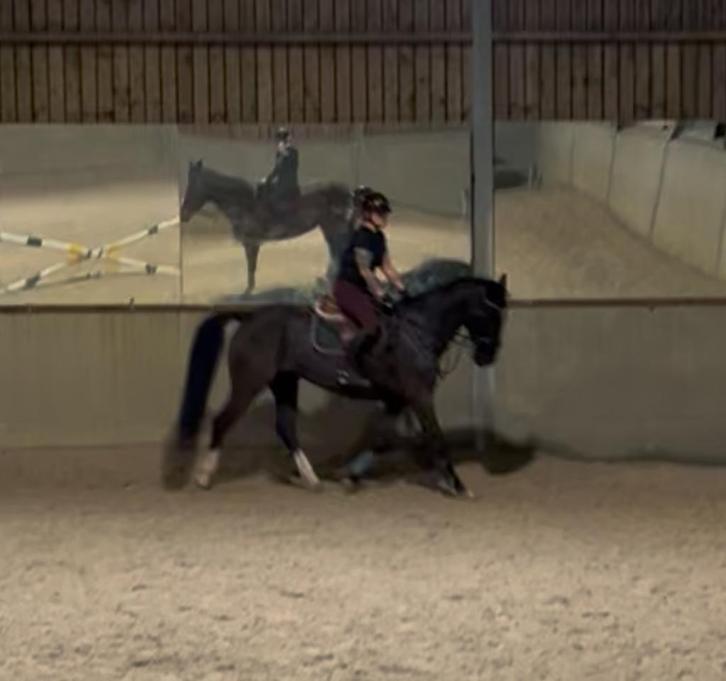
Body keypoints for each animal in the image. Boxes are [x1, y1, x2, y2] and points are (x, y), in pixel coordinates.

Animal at [161, 274, 509, 499]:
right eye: (488, 313)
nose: (487, 356)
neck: (418, 330)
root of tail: (248, 319)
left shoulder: (397, 399)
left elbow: (380, 438)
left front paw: (351, 477)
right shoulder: (419, 395)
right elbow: (436, 436)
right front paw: (458, 486)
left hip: (284, 381)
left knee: (286, 426)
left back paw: (312, 480)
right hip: (249, 383)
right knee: (223, 421)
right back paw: (204, 477)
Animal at [179, 160, 355, 295]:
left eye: (193, 186)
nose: (183, 215)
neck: (244, 204)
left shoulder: (251, 242)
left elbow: (251, 266)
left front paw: (248, 291)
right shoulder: (251, 243)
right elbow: (251, 266)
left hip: (333, 227)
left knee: (337, 251)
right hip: (328, 227)